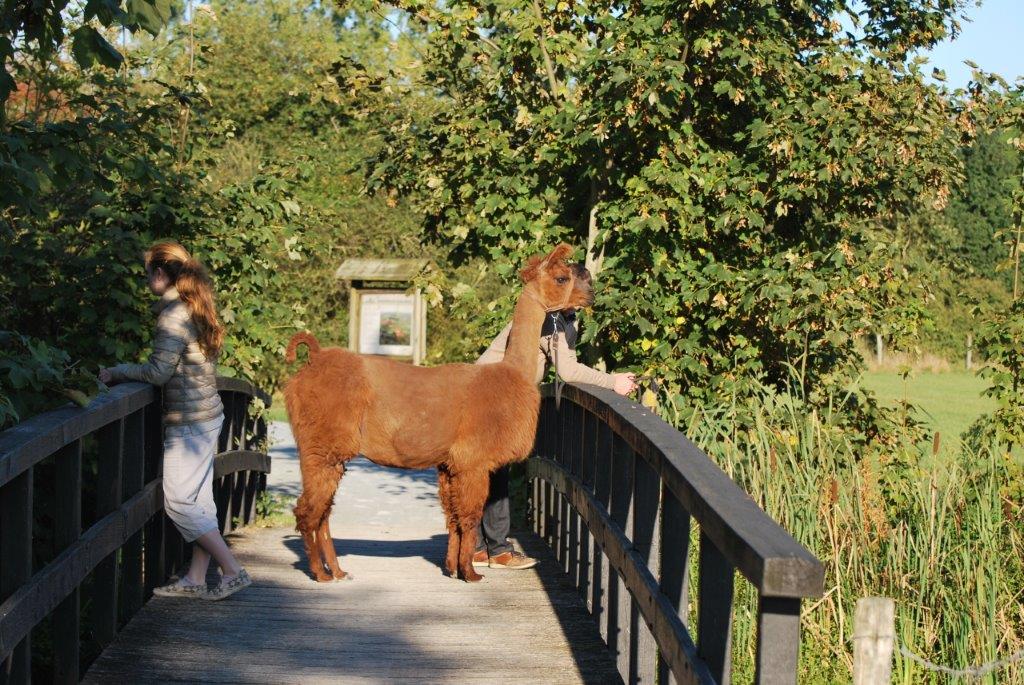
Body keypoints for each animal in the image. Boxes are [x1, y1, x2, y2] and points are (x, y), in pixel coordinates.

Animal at [283, 244, 593, 582]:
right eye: (562, 277)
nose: (590, 290)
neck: (513, 374)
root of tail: (313, 360)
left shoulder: (449, 464)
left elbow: (453, 518)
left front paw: (453, 569)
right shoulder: (473, 460)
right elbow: (469, 517)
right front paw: (471, 573)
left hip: (328, 452)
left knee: (323, 510)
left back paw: (338, 571)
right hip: (321, 446)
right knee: (307, 511)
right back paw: (321, 573)